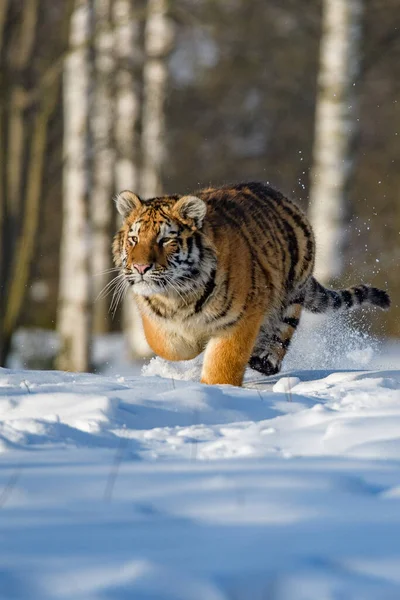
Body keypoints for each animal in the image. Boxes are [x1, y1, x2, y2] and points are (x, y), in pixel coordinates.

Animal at [111, 180, 390, 386]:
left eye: (166, 240)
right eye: (134, 239)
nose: (140, 268)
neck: (178, 294)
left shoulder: (239, 320)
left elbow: (223, 364)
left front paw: (217, 389)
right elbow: (168, 345)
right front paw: (191, 345)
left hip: (292, 288)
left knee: (283, 330)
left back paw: (265, 359)